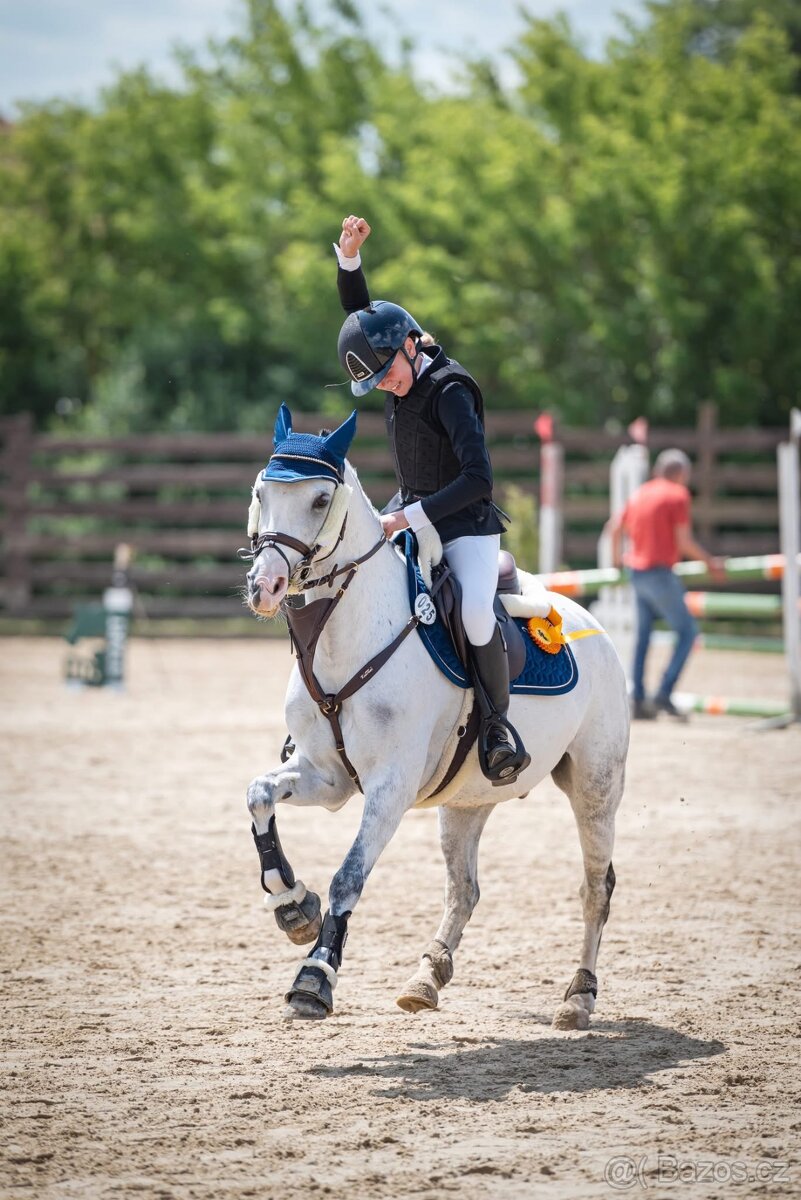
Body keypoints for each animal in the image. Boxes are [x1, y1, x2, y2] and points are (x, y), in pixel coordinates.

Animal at [243, 406, 630, 1025]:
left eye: (321, 500)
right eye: (262, 492)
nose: (266, 586)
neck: (348, 636)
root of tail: (588, 623)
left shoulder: (391, 787)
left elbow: (349, 875)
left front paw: (315, 975)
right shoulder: (327, 779)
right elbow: (258, 795)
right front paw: (293, 905)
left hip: (596, 788)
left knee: (595, 888)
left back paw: (578, 997)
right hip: (467, 800)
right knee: (464, 890)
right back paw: (427, 977)